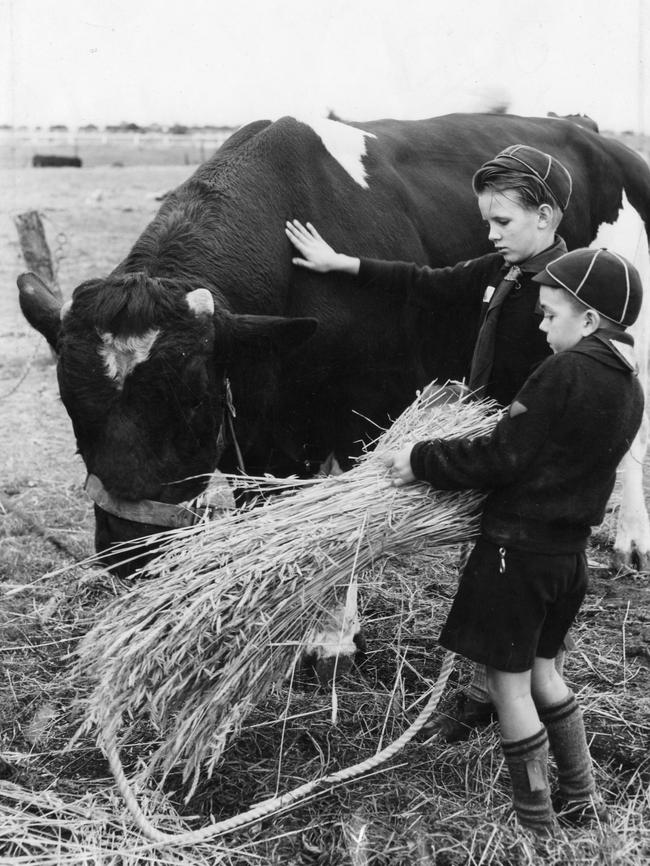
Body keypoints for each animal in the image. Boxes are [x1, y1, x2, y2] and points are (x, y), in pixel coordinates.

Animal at [17, 111, 648, 668]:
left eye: (192, 403)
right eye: (71, 407)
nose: (126, 552)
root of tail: (589, 131)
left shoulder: (364, 411)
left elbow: (349, 511)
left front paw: (332, 637)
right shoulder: (259, 431)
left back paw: (631, 542)